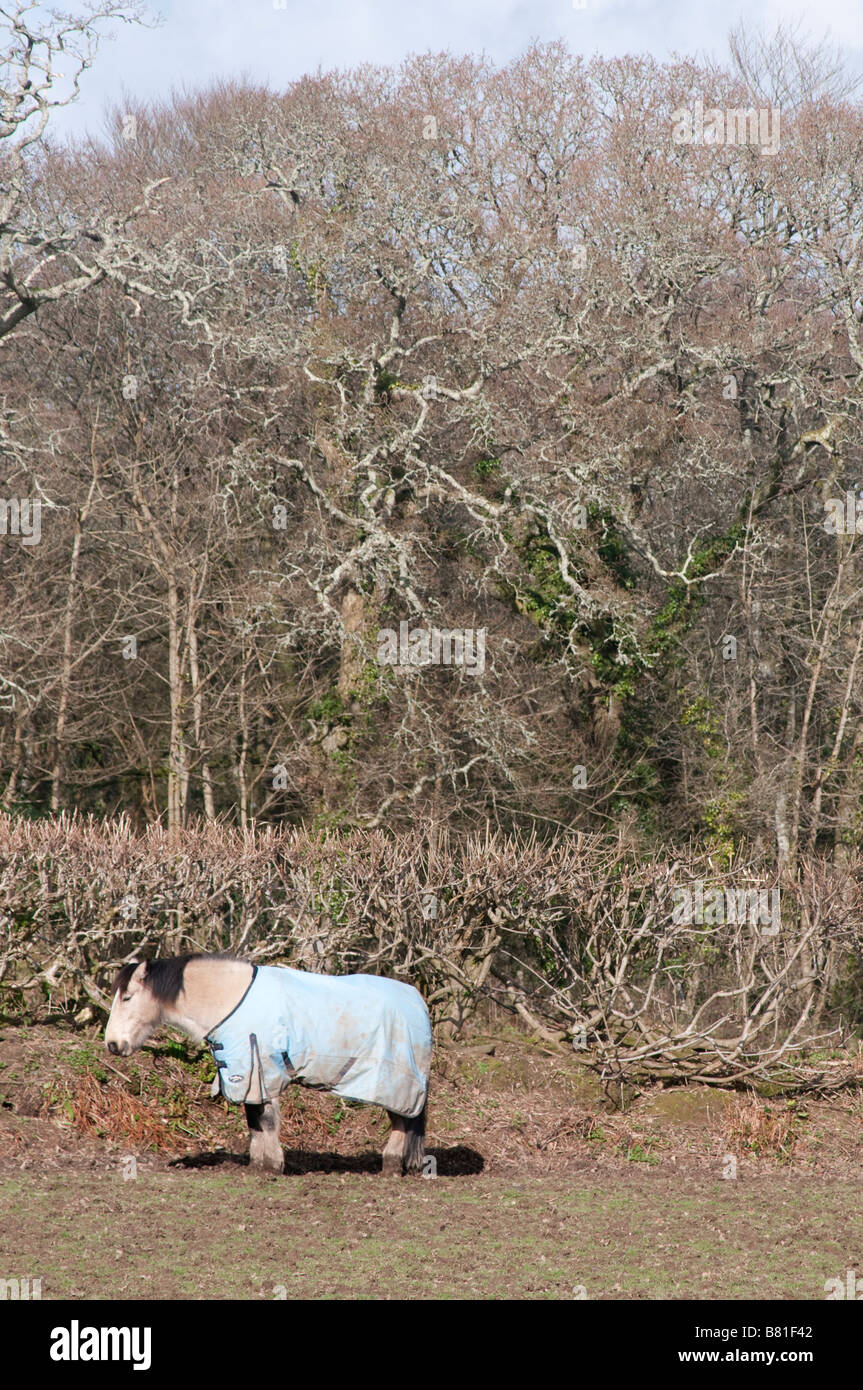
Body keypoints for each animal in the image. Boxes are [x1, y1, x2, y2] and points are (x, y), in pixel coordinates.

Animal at [104, 954, 432, 1176]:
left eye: (128, 997)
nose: (112, 1044)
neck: (232, 1000)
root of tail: (417, 1001)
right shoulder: (245, 1075)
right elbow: (253, 1120)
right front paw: (257, 1164)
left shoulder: (263, 1069)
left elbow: (267, 1119)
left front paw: (273, 1165)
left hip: (396, 1080)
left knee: (401, 1121)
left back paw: (391, 1165)